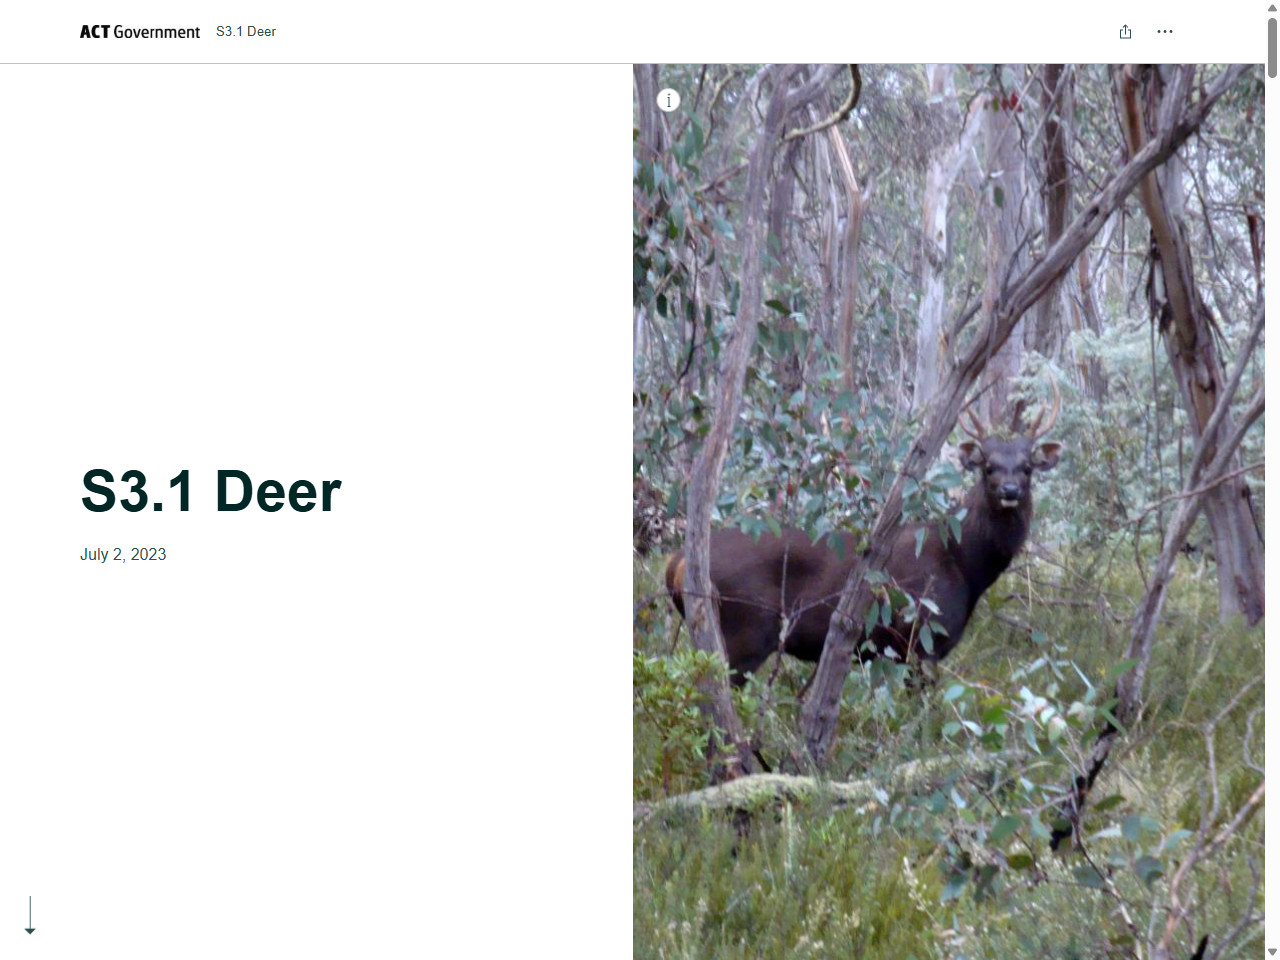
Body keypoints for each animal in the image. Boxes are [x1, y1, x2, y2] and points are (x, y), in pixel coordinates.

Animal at [665, 380, 1062, 683]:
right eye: (988, 467)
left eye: (1027, 468)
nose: (1009, 490)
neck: (965, 564)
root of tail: (677, 562)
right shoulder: (921, 639)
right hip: (744, 632)